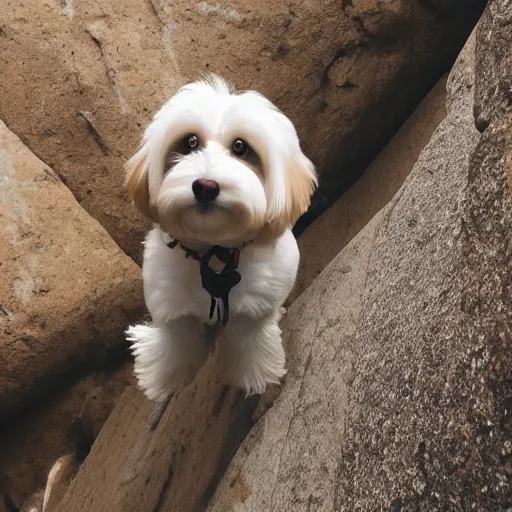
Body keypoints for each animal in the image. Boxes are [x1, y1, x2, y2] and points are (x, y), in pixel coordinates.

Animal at [124, 74, 316, 400]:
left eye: (241, 147)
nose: (205, 186)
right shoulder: (171, 305)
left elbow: (251, 341)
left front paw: (257, 378)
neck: (213, 253)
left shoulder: (256, 308)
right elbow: (175, 341)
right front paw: (164, 378)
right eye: (189, 142)